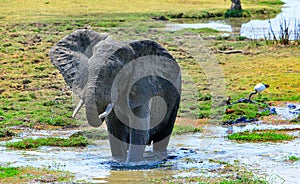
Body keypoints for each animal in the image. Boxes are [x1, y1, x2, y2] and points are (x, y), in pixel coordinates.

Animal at [49, 29, 180, 163]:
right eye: (87, 68)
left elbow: (139, 132)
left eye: (116, 73)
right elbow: (115, 133)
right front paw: (118, 162)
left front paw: (130, 164)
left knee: (162, 138)